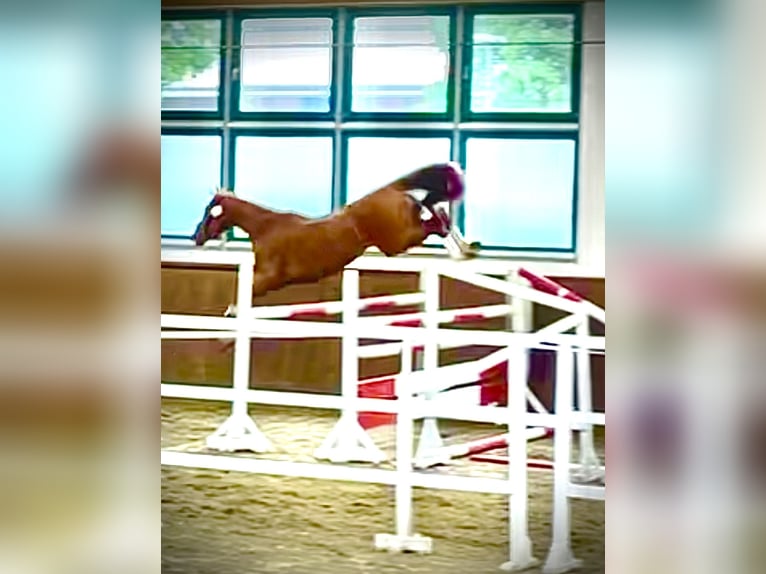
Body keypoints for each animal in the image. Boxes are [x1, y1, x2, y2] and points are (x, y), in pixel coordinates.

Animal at [192, 162, 480, 298]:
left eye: (208, 212)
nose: (196, 237)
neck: (264, 228)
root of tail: (392, 189)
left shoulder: (269, 278)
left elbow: (246, 293)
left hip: (397, 241)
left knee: (435, 221)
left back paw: (462, 250)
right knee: (435, 211)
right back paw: (466, 248)